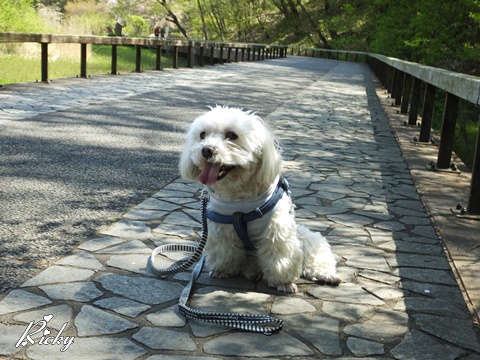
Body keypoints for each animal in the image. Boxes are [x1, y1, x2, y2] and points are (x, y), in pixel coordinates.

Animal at [178, 105, 340, 292]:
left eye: (232, 135)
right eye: (202, 135)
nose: (206, 150)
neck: (240, 200)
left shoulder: (276, 228)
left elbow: (279, 255)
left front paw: (283, 282)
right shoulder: (222, 225)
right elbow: (225, 250)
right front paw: (223, 269)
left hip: (306, 237)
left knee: (317, 258)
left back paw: (328, 275)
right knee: (251, 262)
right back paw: (253, 272)